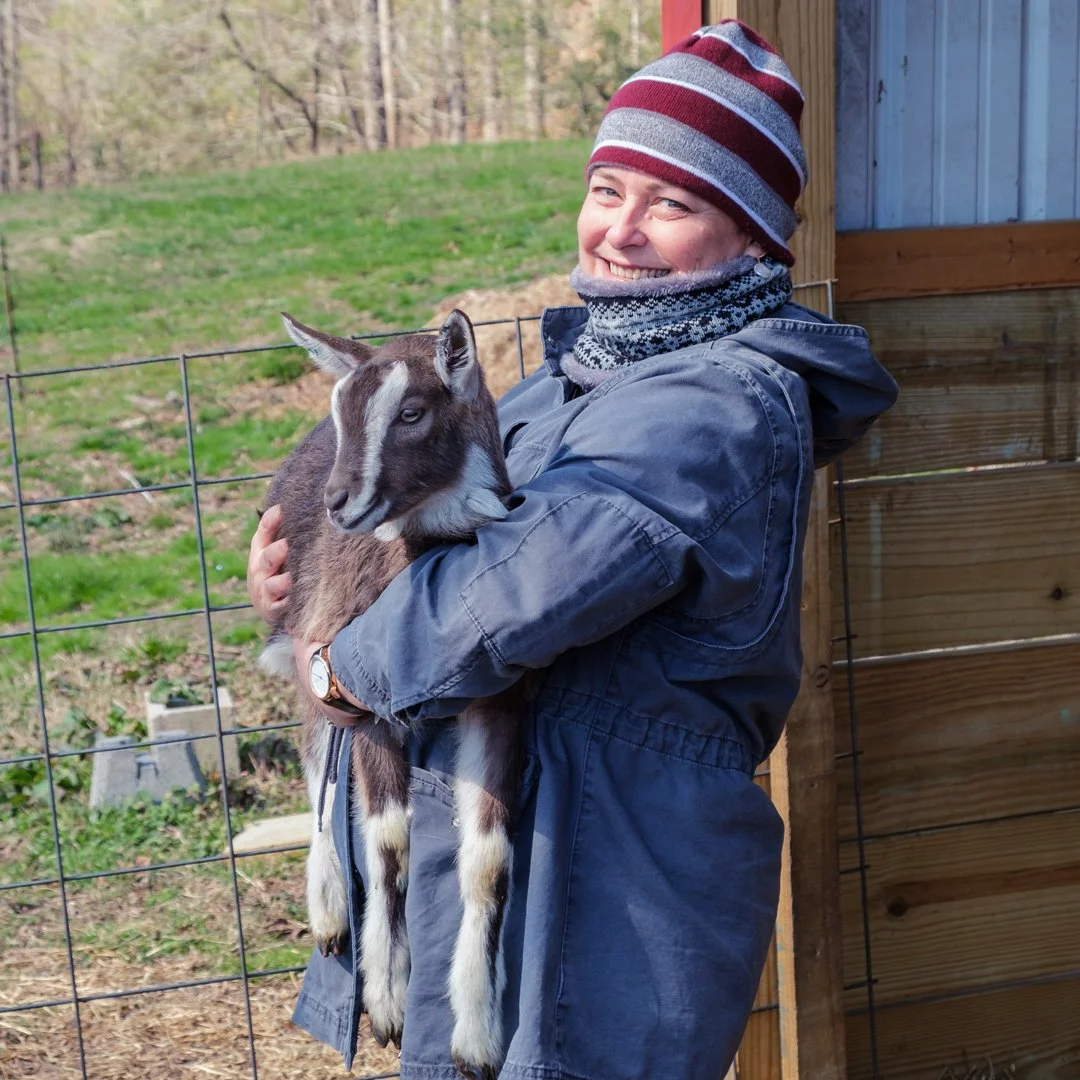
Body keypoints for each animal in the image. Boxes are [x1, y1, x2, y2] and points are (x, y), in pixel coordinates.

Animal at [260, 310, 526, 1079]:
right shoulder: (359, 688)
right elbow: (388, 840)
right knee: (316, 756)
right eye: (340, 411)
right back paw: (327, 909)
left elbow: (489, 854)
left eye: (411, 412)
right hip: (309, 647)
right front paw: (387, 1000)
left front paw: (477, 1036)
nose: (340, 502)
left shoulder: (499, 701)